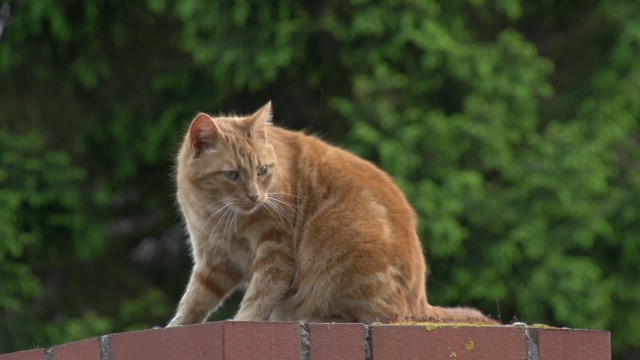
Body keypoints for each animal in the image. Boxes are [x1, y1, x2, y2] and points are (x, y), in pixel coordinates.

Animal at [168, 101, 498, 326]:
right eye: (232, 175)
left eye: (262, 171)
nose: (255, 196)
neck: (215, 212)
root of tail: (420, 303)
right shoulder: (214, 259)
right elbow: (195, 298)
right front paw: (176, 326)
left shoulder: (275, 251)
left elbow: (260, 294)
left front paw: (244, 322)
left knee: (374, 315)